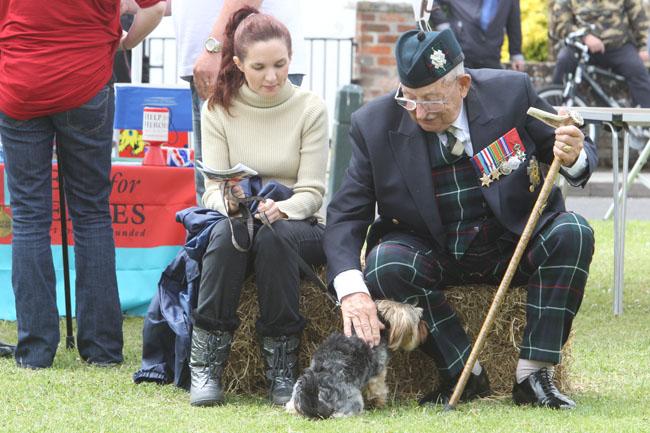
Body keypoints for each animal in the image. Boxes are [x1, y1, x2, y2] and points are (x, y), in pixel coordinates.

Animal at [284, 298, 426, 416]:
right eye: (418, 322)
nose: (426, 327)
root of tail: (318, 399)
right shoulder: (377, 374)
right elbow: (379, 390)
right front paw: (380, 403)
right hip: (353, 399)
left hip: (296, 394)